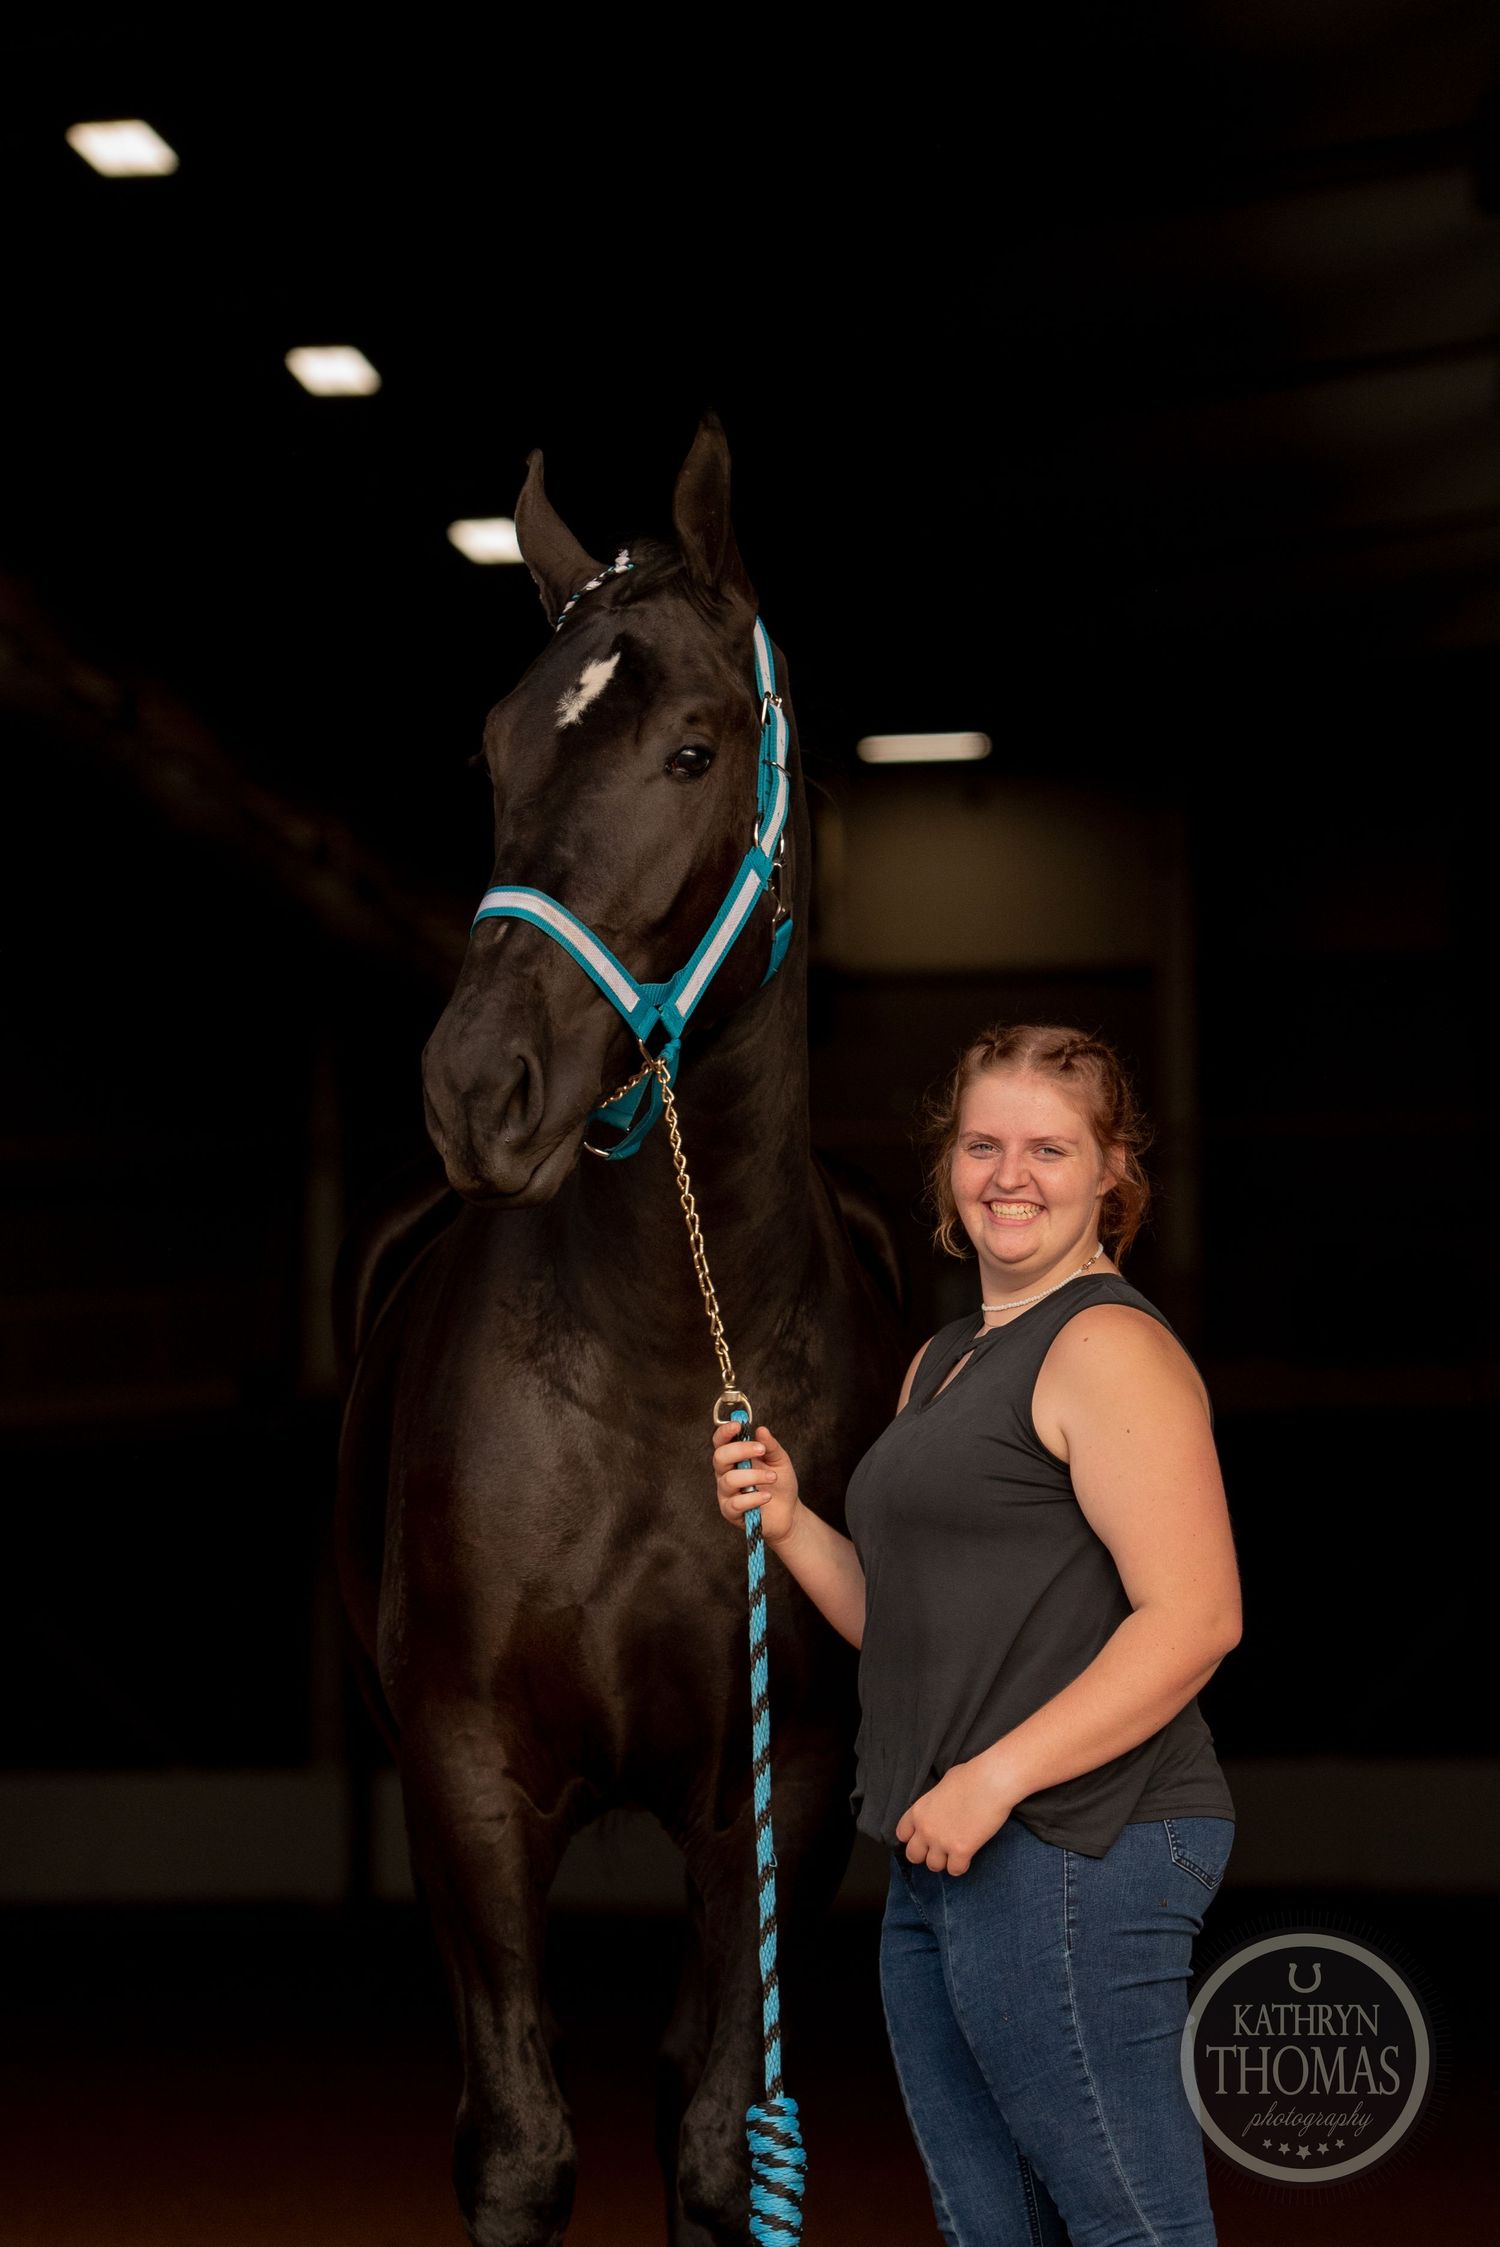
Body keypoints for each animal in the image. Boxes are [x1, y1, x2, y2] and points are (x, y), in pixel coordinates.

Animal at [334, 415, 905, 2247]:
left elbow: (719, 2139)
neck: (666, 1357)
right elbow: (520, 2138)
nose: (476, 1089)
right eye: (493, 749)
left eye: (691, 749)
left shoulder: (779, 1782)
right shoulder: (467, 1770)